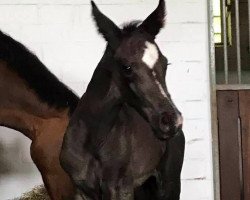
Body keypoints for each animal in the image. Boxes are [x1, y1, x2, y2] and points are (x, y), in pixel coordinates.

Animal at [60, 0, 186, 199]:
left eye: (165, 63)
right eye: (127, 67)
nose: (172, 121)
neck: (94, 141)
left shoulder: (120, 188)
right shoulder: (81, 190)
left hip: (169, 183)